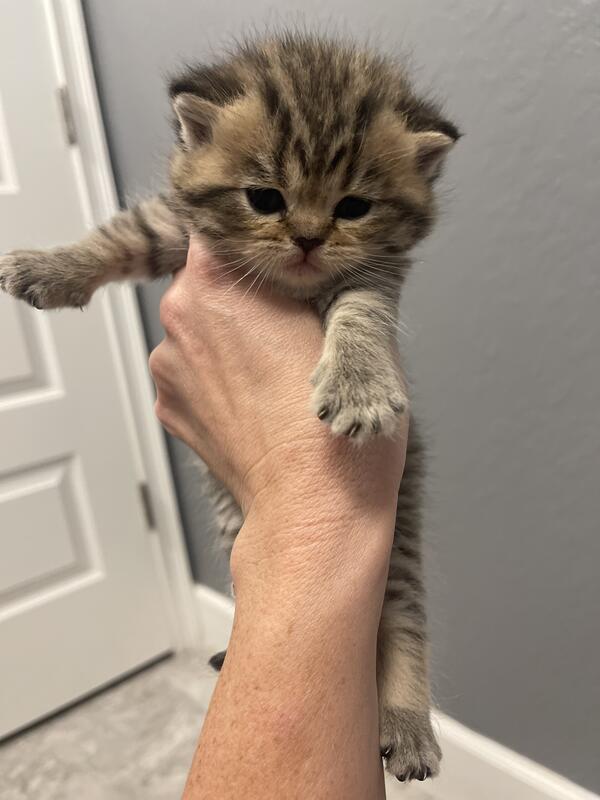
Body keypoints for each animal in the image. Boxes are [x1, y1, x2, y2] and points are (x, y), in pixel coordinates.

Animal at [0, 32, 459, 783]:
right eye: (264, 198)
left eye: (353, 208)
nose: (307, 238)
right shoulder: (173, 225)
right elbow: (119, 234)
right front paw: (50, 265)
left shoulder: (373, 275)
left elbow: (362, 312)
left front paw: (359, 384)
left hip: (400, 529)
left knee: (406, 617)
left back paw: (407, 722)